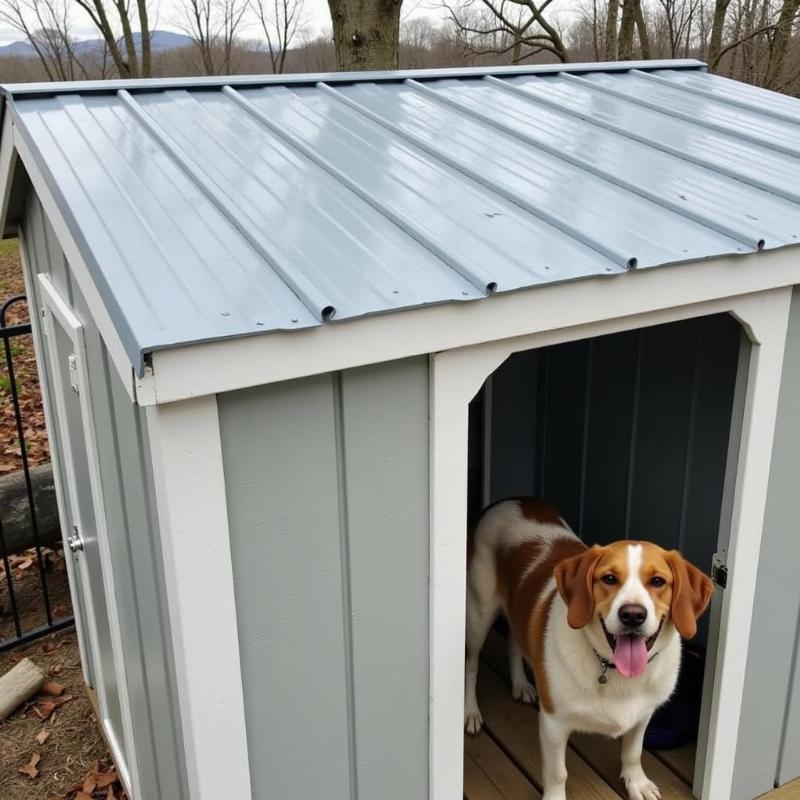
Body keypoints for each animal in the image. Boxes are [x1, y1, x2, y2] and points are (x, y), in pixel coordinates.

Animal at [466, 496, 716, 796]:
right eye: (609, 578)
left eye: (658, 581)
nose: (633, 615)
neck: (614, 670)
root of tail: (512, 500)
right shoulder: (553, 723)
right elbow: (557, 773)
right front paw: (555, 797)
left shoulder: (643, 714)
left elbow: (633, 752)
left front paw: (637, 783)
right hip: (479, 614)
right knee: (470, 665)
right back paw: (470, 712)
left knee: (516, 641)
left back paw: (521, 685)